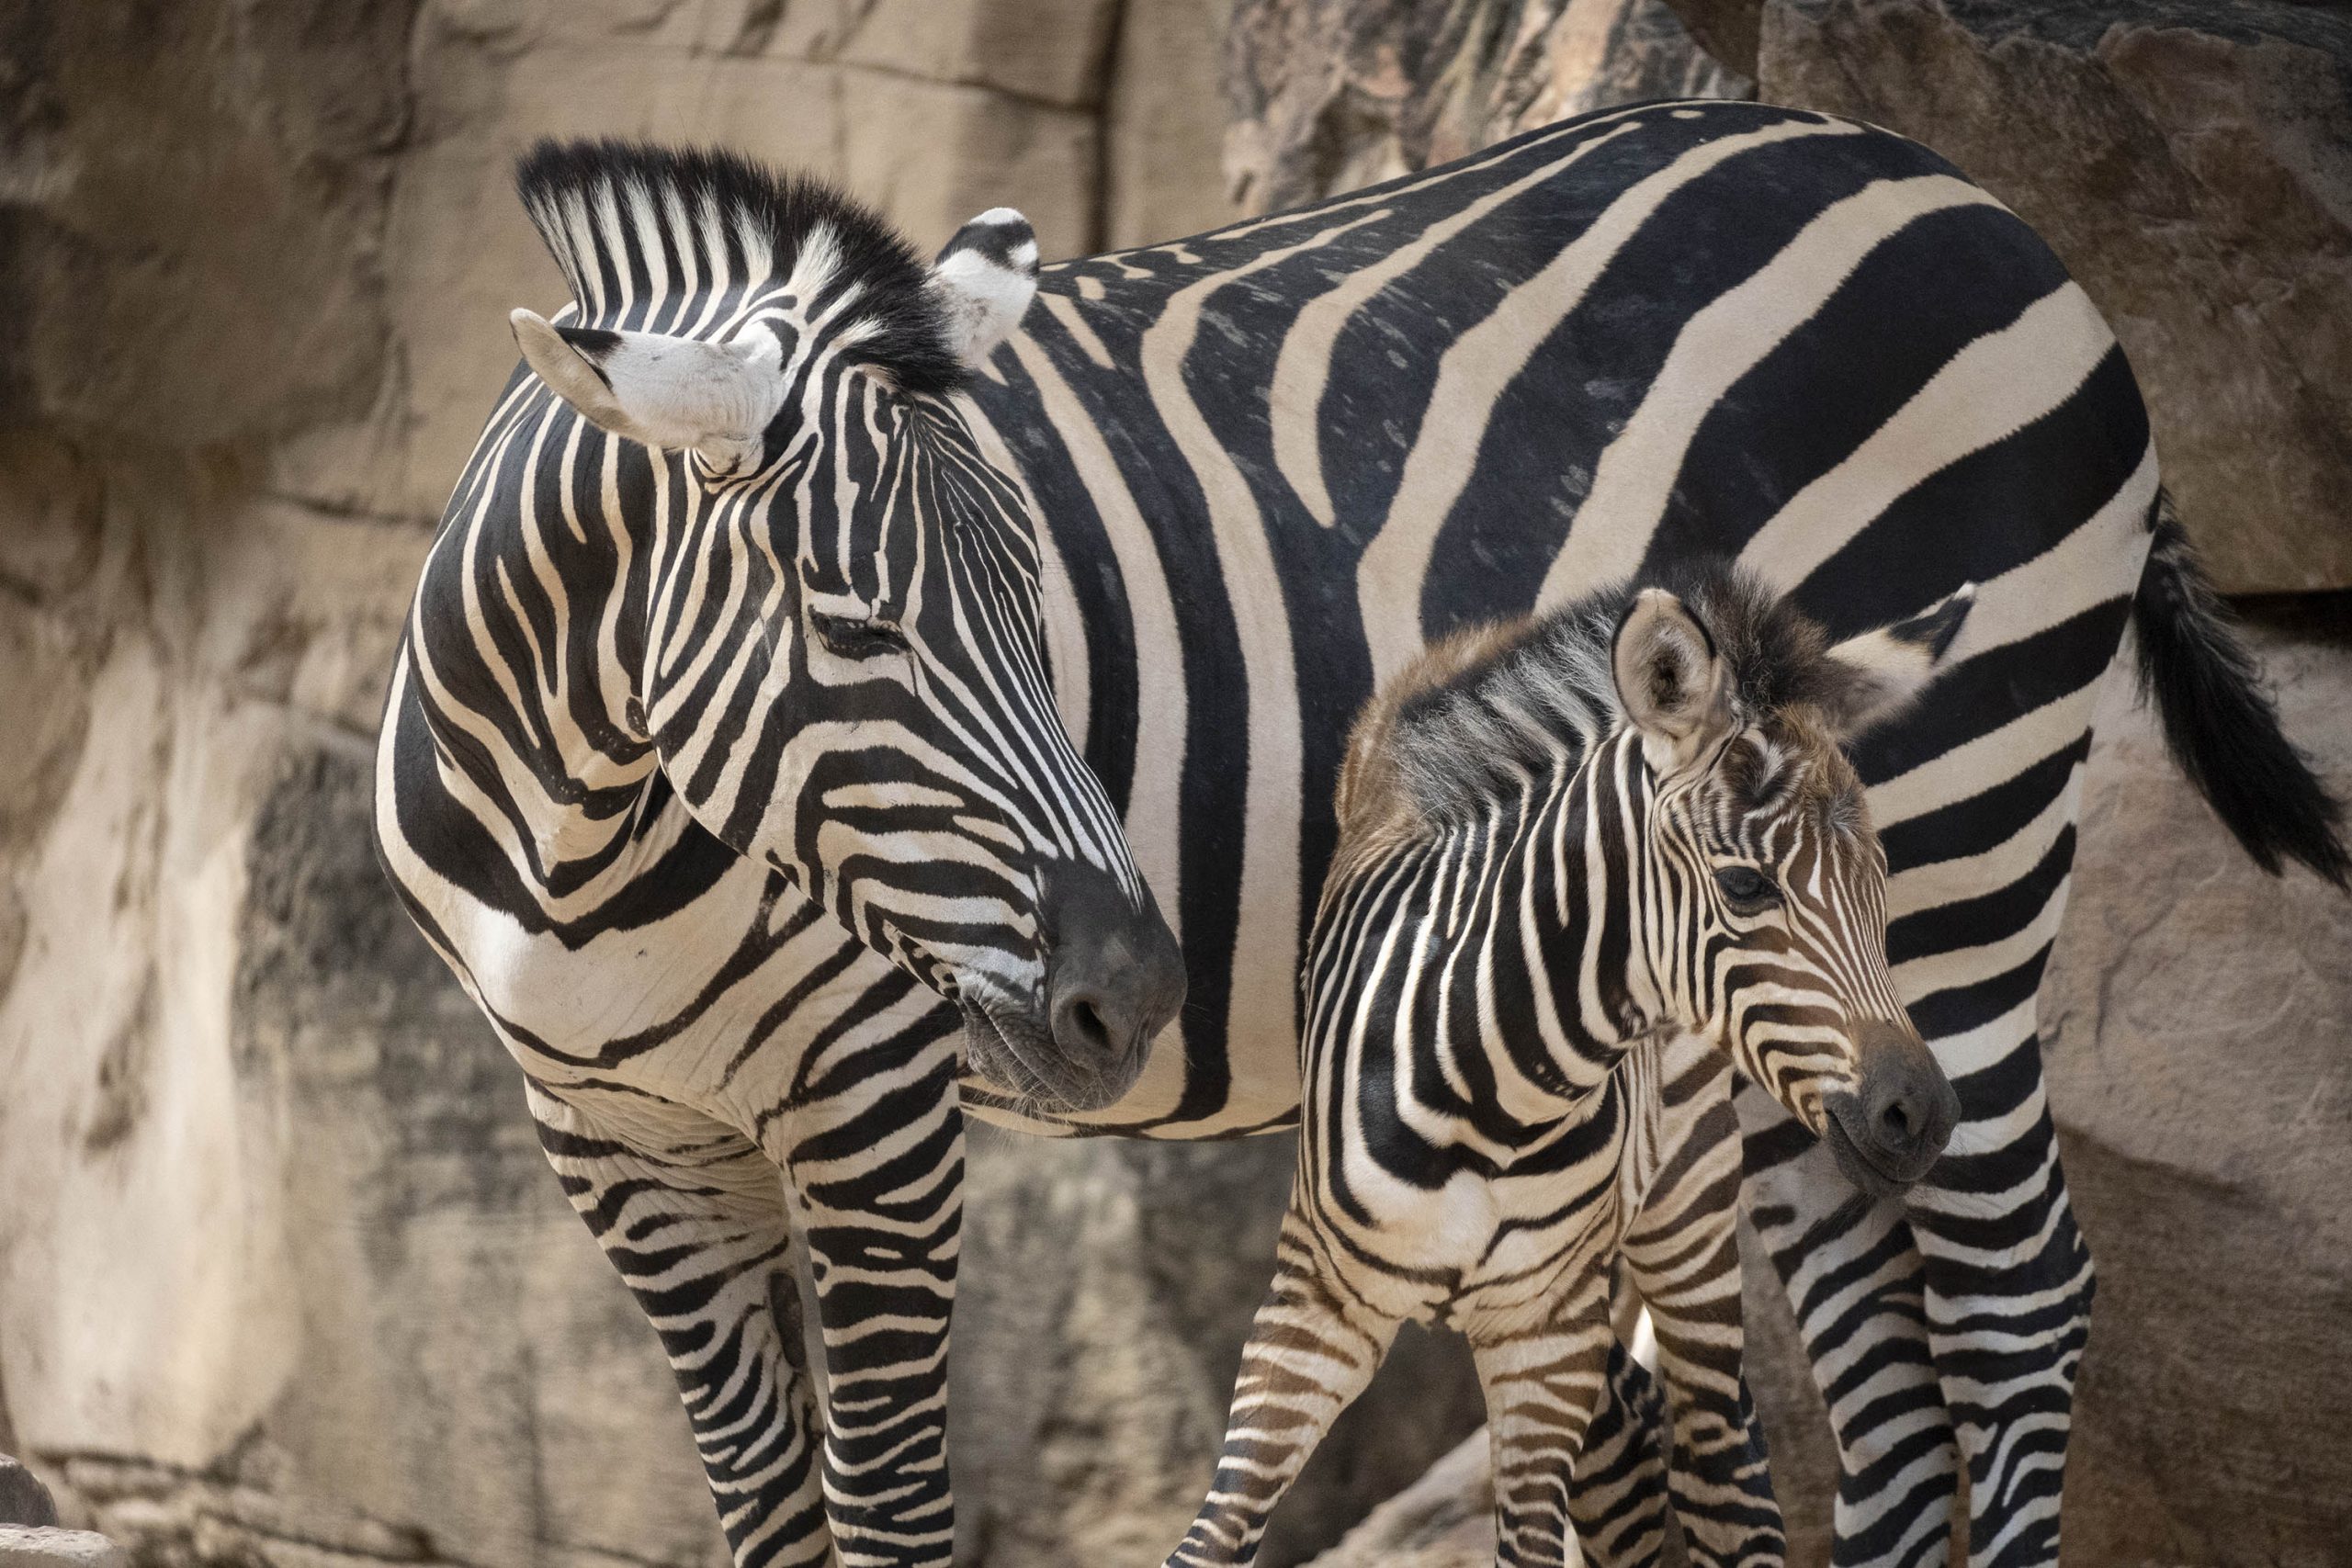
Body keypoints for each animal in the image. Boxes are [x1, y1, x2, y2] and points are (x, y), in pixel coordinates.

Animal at [1170, 570, 1966, 1568]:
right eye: (1744, 887)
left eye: (1880, 879)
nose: (1921, 1115)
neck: (1489, 1102)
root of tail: (1482, 636)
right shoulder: (1312, 1305)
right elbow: (1214, 1534)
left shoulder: (1544, 1338)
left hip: (1685, 1207)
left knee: (1715, 1461)